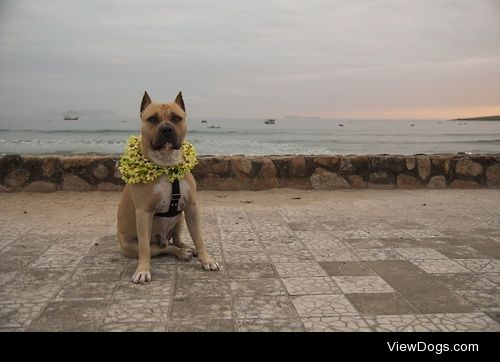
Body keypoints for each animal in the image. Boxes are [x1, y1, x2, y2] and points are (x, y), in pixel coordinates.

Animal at [118, 90, 220, 282]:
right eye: (152, 119)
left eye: (176, 118)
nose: (166, 128)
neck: (166, 166)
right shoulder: (144, 213)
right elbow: (144, 248)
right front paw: (143, 270)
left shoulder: (191, 207)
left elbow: (199, 238)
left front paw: (207, 260)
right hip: (130, 246)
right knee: (164, 248)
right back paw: (181, 253)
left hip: (180, 218)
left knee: (177, 240)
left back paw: (187, 248)